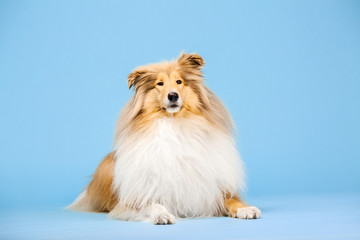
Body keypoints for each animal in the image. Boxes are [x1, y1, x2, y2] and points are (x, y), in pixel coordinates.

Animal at [69, 52, 262, 223]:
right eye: (159, 84)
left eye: (179, 81)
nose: (173, 95)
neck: (174, 124)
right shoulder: (137, 196)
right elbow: (153, 204)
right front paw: (162, 215)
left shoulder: (212, 190)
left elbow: (232, 200)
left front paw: (246, 209)